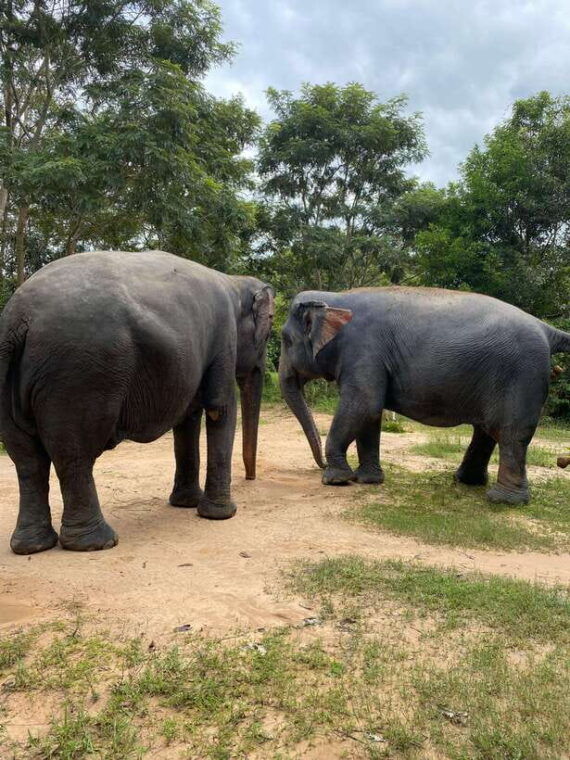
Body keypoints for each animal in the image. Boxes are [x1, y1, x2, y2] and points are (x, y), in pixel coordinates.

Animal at [0, 250, 274, 554]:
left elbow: (188, 419)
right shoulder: (223, 339)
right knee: (73, 454)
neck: (233, 281)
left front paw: (185, 504)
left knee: (27, 458)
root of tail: (18, 317)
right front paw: (221, 515)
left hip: (13, 377)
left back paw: (32, 546)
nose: (250, 478)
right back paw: (97, 542)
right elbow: (219, 409)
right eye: (270, 326)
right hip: (78, 376)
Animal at [279, 286, 570, 505]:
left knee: (511, 434)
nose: (319, 464)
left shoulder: (363, 349)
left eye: (285, 340)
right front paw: (367, 480)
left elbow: (364, 404)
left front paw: (336, 480)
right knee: (486, 430)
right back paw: (466, 481)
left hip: (522, 376)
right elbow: (370, 413)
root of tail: (545, 327)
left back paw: (502, 500)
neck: (336, 297)